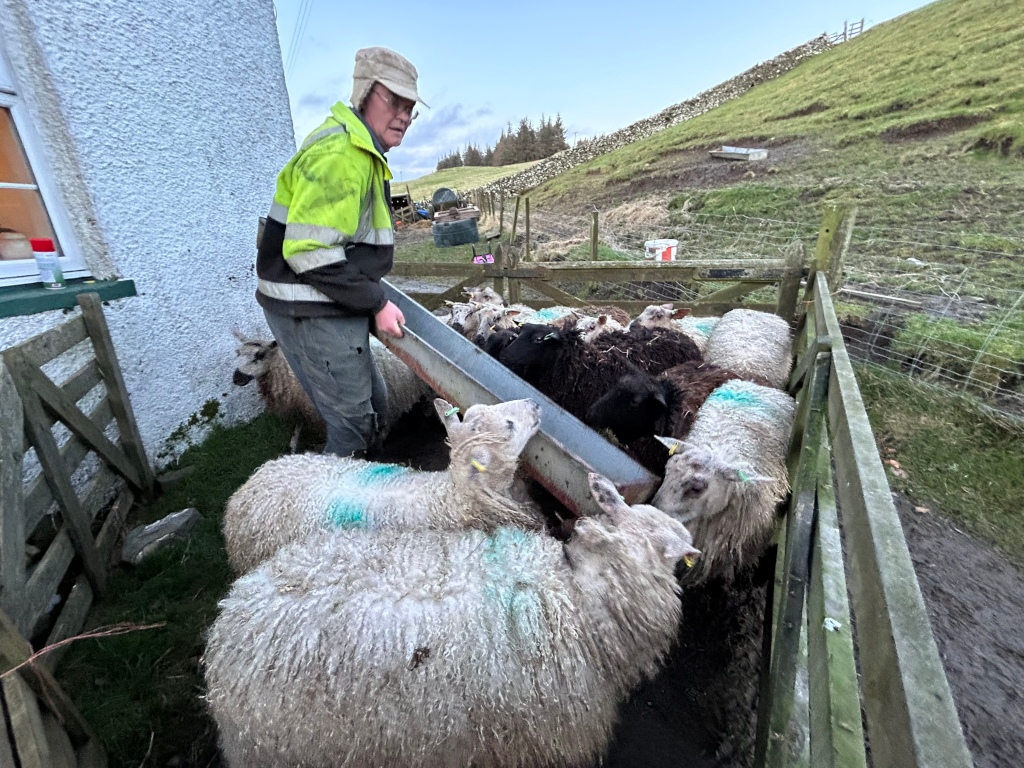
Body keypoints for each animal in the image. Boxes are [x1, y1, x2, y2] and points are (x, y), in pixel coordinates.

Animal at [232, 334, 433, 452]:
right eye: (237, 353)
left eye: (259, 355)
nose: (236, 378)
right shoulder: (301, 408)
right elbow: (296, 432)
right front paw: (292, 448)